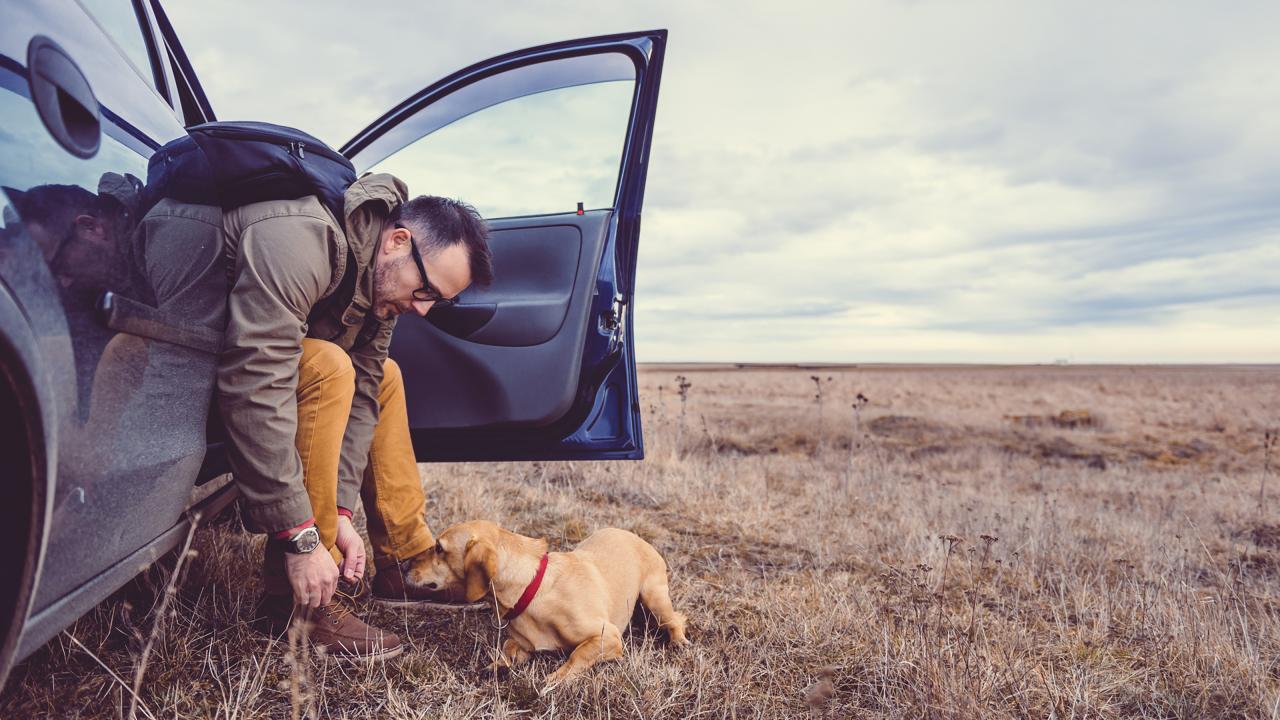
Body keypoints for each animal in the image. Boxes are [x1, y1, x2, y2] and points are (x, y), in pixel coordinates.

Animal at [407, 517, 691, 681]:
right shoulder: (521, 643)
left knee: (676, 619)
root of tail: (636, 536)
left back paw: (679, 641)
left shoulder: (608, 637)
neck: (531, 587)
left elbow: (577, 654)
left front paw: (556, 679)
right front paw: (497, 666)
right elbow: (508, 648)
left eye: (439, 548)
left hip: (655, 598)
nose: (406, 566)